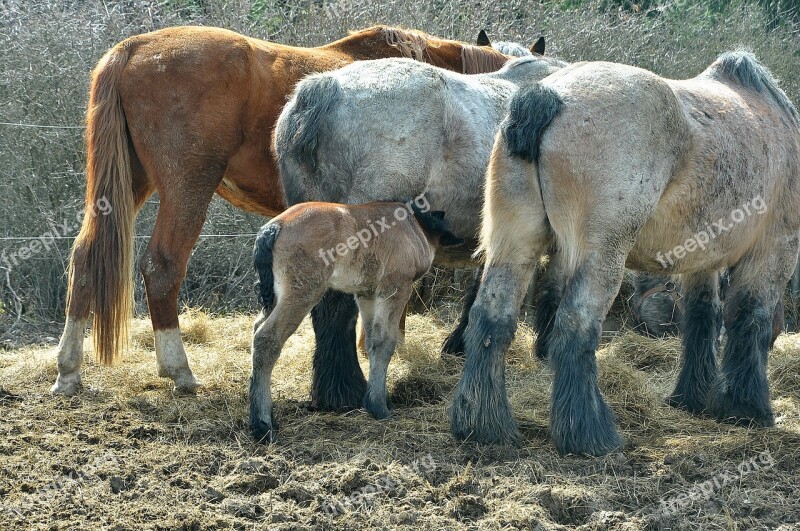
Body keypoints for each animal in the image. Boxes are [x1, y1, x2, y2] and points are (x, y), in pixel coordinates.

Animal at [53, 25, 510, 396]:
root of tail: (134, 48)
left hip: (130, 185)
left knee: (86, 256)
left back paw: (68, 370)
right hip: (188, 188)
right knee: (162, 266)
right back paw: (178, 369)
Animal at [450, 51, 800, 458]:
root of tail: (548, 95)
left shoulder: (703, 259)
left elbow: (702, 317)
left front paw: (693, 397)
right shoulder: (774, 251)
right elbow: (749, 318)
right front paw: (746, 407)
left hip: (514, 243)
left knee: (492, 317)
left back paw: (483, 425)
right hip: (602, 257)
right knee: (575, 325)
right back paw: (589, 433)